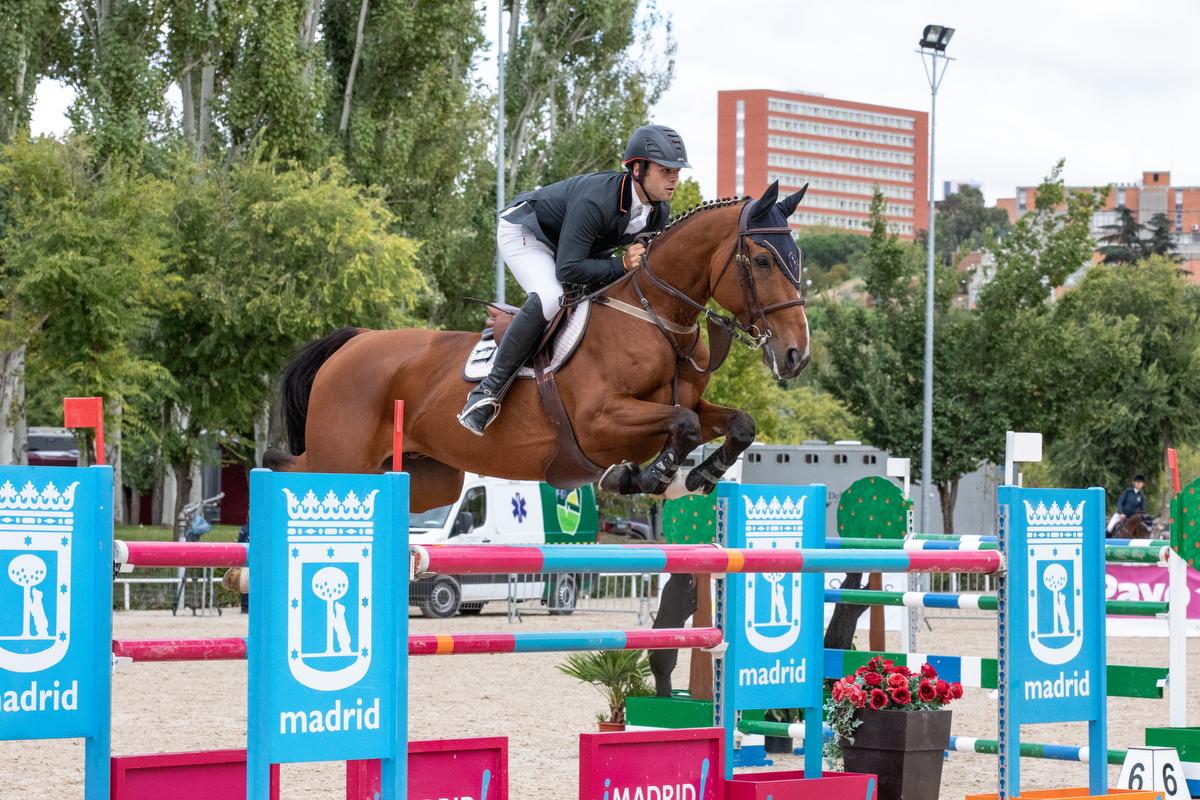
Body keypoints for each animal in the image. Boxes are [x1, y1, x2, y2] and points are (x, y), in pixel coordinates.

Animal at [268, 179, 816, 695]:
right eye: (763, 260)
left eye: (797, 258)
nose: (796, 356)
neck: (657, 317)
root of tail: (354, 342)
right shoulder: (599, 423)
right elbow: (681, 424)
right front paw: (647, 477)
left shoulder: (689, 406)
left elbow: (735, 423)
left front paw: (697, 475)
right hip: (344, 459)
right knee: (290, 468)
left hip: (428, 478)